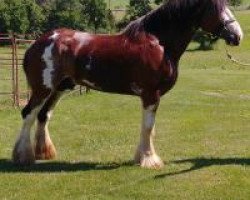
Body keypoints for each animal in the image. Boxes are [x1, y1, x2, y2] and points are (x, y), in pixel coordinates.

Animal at [12, 0, 243, 169]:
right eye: (216, 8)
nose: (237, 35)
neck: (159, 43)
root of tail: (37, 43)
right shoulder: (150, 94)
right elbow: (148, 127)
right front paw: (149, 160)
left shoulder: (152, 97)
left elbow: (149, 128)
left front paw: (142, 157)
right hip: (42, 89)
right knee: (28, 114)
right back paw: (23, 156)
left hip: (59, 88)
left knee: (43, 116)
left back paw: (44, 153)